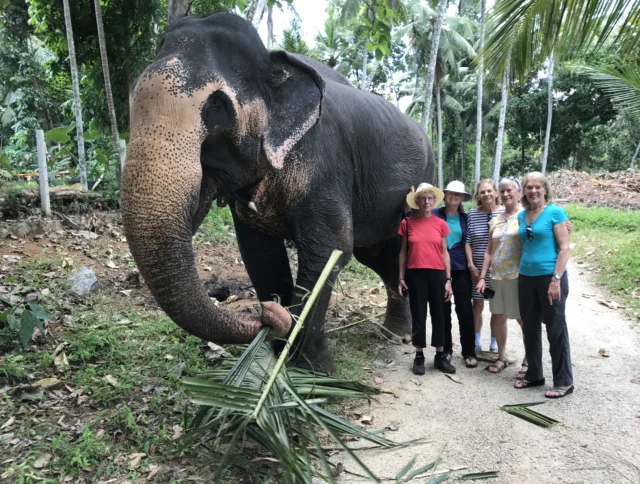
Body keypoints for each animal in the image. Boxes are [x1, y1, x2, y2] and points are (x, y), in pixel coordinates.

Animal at [121, 12, 436, 374]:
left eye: (217, 106)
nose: (266, 314)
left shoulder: (325, 163)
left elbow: (330, 250)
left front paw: (316, 371)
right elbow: (260, 253)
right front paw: (273, 353)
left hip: (423, 180)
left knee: (392, 250)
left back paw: (401, 337)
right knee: (376, 254)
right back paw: (396, 332)